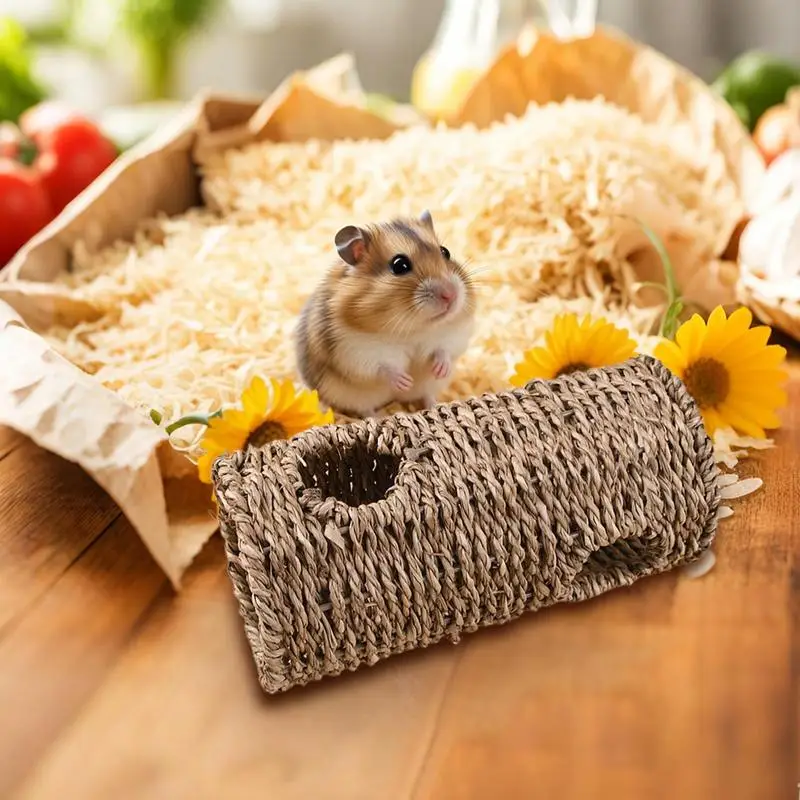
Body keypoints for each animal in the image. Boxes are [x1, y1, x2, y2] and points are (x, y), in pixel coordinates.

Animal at [295, 210, 476, 417]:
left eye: (445, 252)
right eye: (399, 265)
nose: (451, 295)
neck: (414, 329)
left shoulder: (454, 334)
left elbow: (444, 350)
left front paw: (439, 369)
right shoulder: (357, 351)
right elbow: (385, 368)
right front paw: (405, 381)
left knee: (427, 395)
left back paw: (434, 405)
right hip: (349, 396)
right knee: (365, 410)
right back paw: (379, 416)